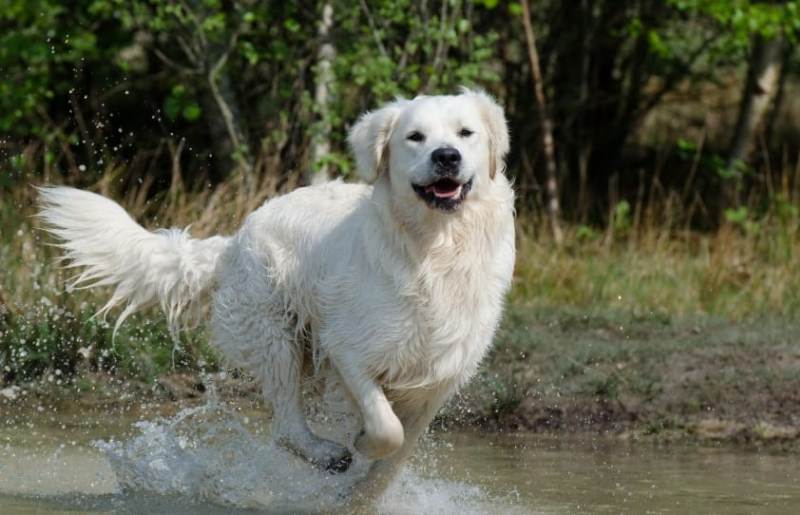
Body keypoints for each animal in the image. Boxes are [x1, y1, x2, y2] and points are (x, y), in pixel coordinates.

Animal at [37, 88, 516, 500]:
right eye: (415, 137)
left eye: (465, 133)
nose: (446, 156)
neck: (436, 250)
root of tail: (233, 241)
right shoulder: (346, 348)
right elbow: (386, 429)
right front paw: (359, 443)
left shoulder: (440, 378)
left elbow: (396, 455)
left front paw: (361, 496)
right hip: (276, 335)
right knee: (286, 425)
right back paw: (326, 453)